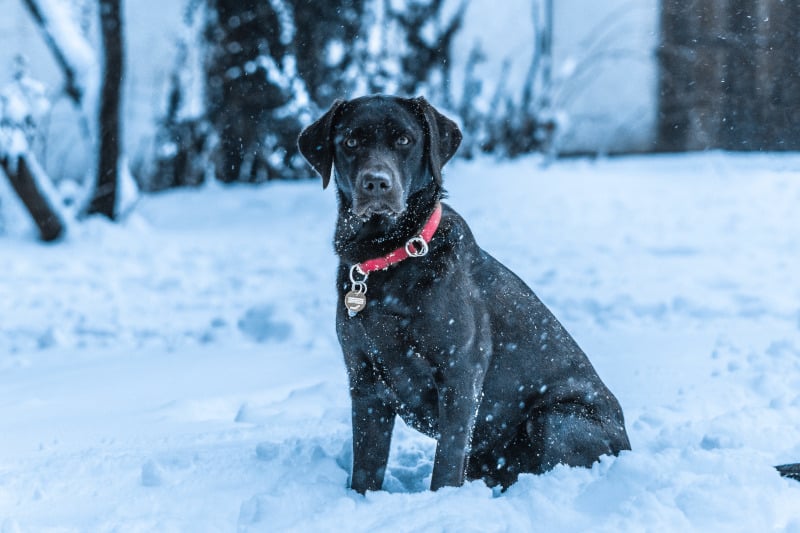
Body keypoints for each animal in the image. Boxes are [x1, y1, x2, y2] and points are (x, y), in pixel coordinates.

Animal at [298, 94, 632, 490]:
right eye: (350, 142)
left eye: (404, 140)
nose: (376, 183)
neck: (389, 256)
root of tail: (627, 444)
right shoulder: (364, 379)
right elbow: (366, 466)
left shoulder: (460, 372)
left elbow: (446, 462)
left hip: (558, 418)